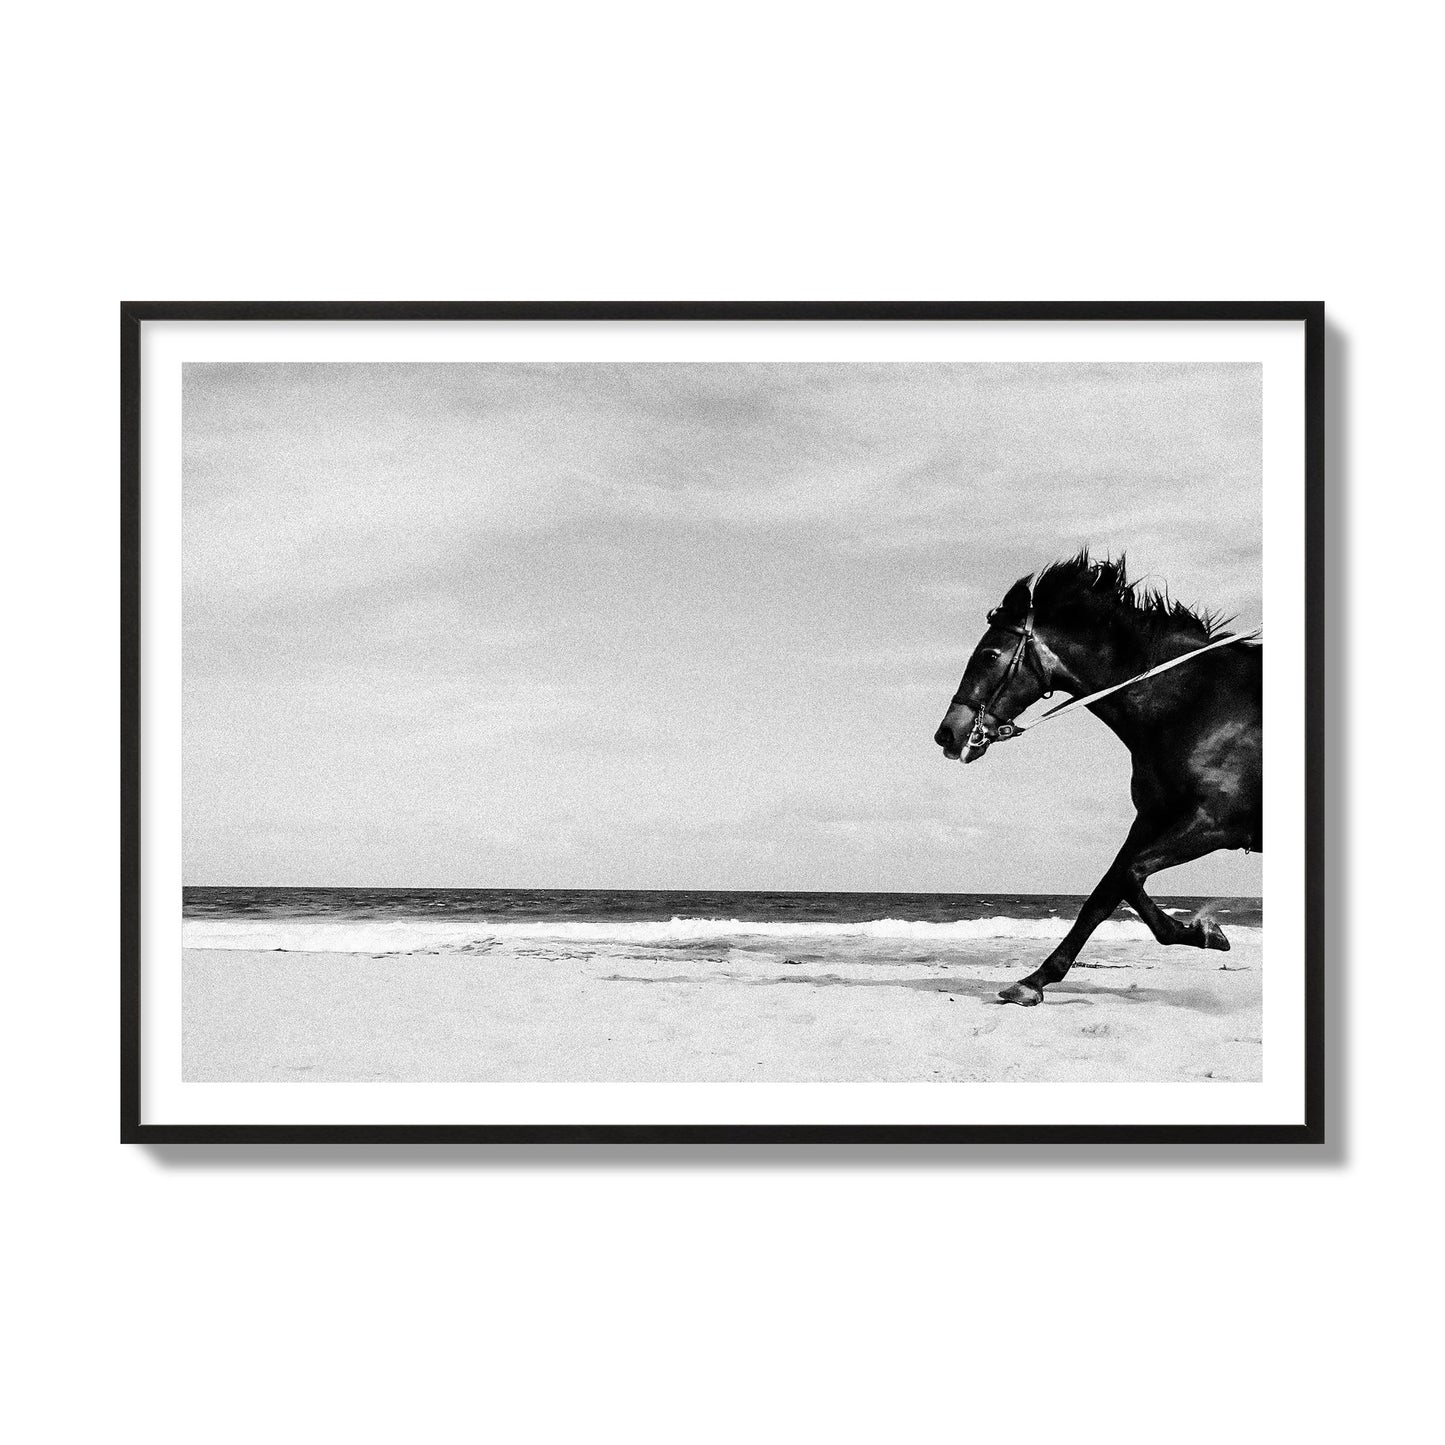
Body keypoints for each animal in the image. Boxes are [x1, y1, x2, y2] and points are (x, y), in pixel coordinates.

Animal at [933, 553, 1262, 1006]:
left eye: (990, 654)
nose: (948, 734)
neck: (1196, 704)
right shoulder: (1152, 819)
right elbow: (1105, 893)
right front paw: (1034, 980)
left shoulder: (1215, 823)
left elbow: (1128, 876)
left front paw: (1204, 931)